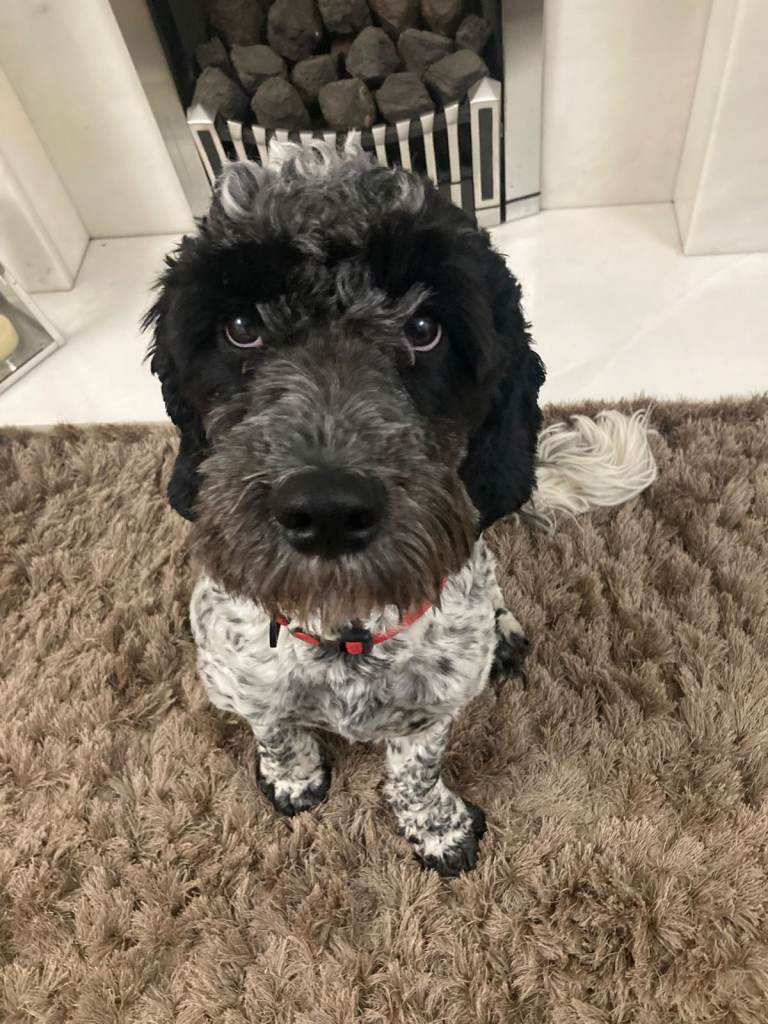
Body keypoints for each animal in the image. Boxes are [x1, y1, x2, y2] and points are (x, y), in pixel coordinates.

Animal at [145, 143, 548, 875]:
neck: (345, 635)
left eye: (425, 327)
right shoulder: (241, 681)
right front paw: (293, 778)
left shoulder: (435, 707)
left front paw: (438, 829)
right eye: (240, 326)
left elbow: (417, 770)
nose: (326, 508)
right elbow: (275, 729)